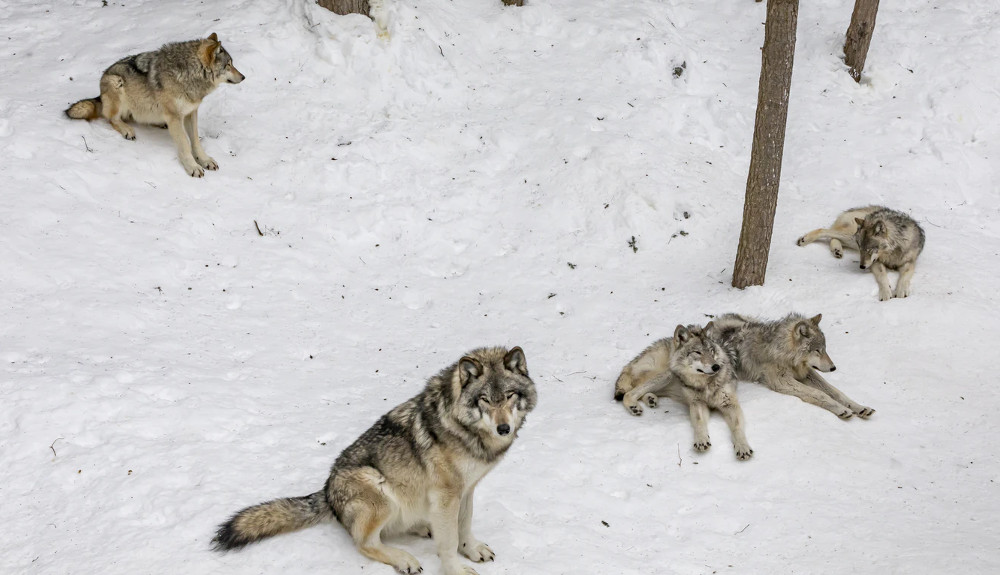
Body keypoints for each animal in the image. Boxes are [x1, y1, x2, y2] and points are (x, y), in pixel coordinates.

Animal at [66, 33, 244, 178]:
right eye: (228, 65)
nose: (243, 77)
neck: (190, 73)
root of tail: (100, 94)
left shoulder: (190, 112)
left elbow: (195, 142)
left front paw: (205, 160)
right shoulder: (175, 117)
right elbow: (185, 144)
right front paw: (192, 167)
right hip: (117, 82)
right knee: (112, 119)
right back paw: (127, 130)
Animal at [213, 346, 540, 575]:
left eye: (509, 395)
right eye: (484, 399)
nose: (503, 428)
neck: (466, 429)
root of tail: (327, 493)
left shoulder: (466, 490)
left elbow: (464, 525)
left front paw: (471, 549)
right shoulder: (447, 495)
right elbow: (447, 542)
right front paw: (456, 570)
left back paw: (421, 527)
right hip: (379, 489)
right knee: (365, 544)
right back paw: (405, 559)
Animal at [612, 326, 752, 462]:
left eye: (711, 351)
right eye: (698, 352)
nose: (716, 367)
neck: (705, 384)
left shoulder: (730, 404)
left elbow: (737, 428)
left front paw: (743, 447)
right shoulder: (697, 403)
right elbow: (699, 422)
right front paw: (701, 440)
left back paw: (651, 399)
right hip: (667, 374)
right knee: (629, 393)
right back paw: (634, 407)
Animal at [704, 316, 876, 424]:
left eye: (825, 349)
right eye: (817, 351)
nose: (833, 368)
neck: (783, 352)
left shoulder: (806, 372)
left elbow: (836, 391)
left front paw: (859, 408)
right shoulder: (782, 381)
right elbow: (819, 393)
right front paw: (841, 409)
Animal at [796, 205, 928, 302]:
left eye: (869, 250)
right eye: (861, 249)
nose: (862, 267)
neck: (891, 252)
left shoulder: (909, 262)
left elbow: (904, 276)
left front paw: (901, 291)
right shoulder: (875, 262)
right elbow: (882, 276)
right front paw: (886, 293)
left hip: (850, 239)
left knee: (832, 237)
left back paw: (837, 250)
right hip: (851, 237)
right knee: (825, 231)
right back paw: (804, 239)